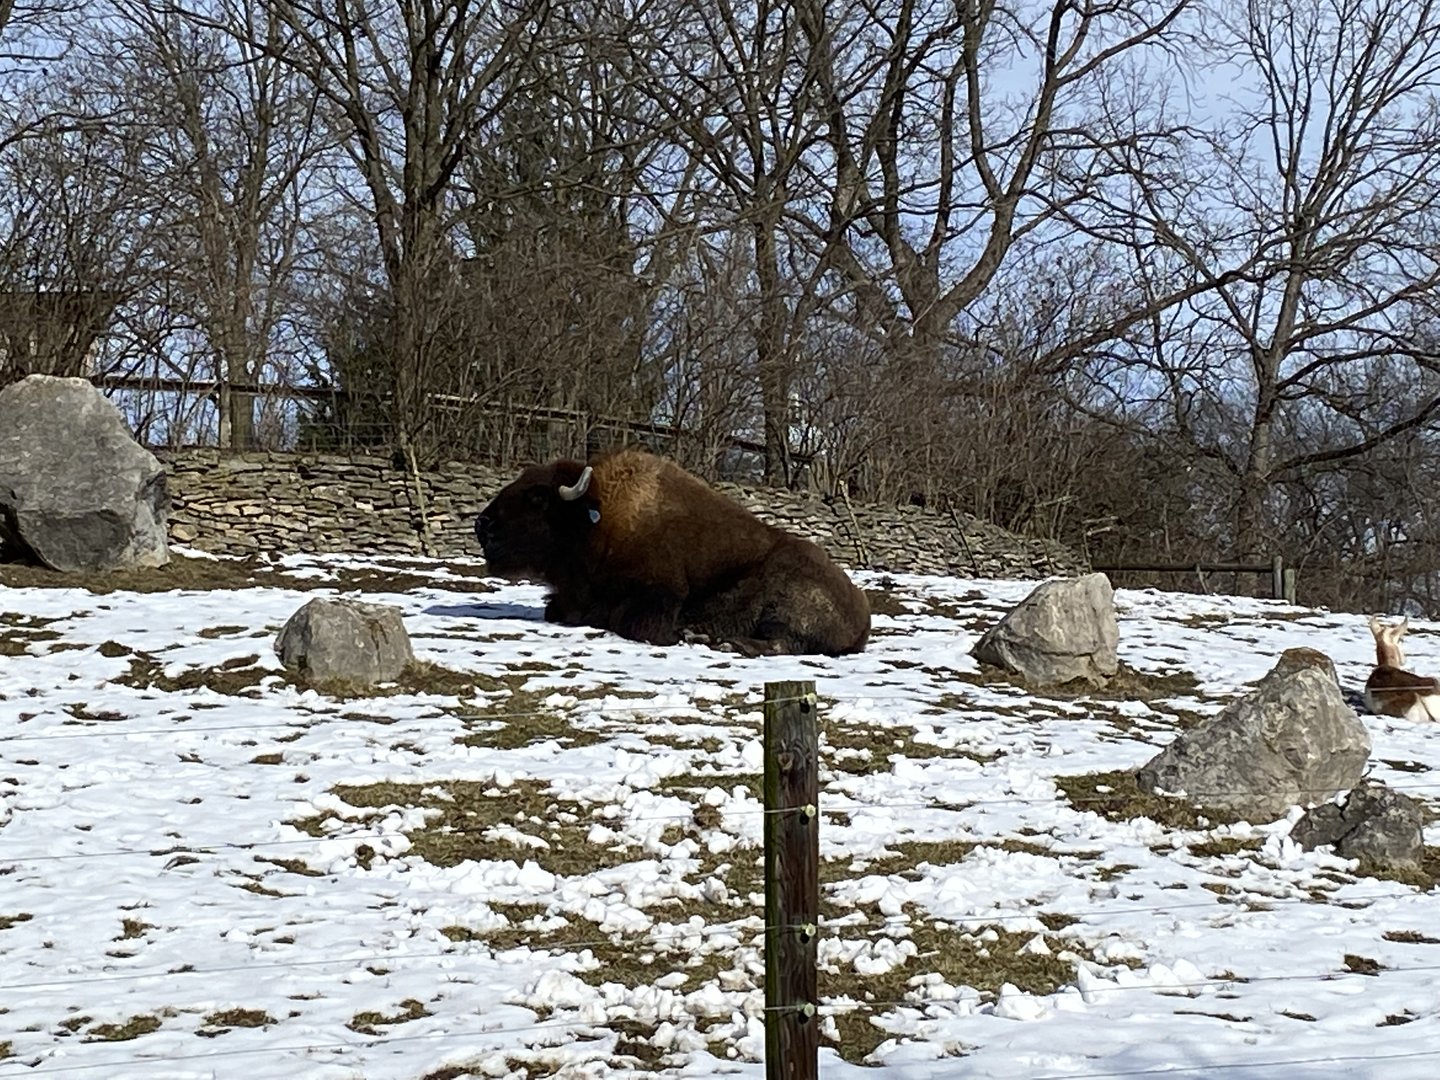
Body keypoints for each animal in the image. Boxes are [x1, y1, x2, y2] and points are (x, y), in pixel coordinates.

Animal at [475, 449, 870, 656]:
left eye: (538, 498)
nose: (482, 524)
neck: (598, 520)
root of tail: (862, 618)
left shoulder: (660, 594)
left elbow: (629, 621)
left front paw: (678, 633)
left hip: (782, 604)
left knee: (777, 643)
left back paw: (714, 640)